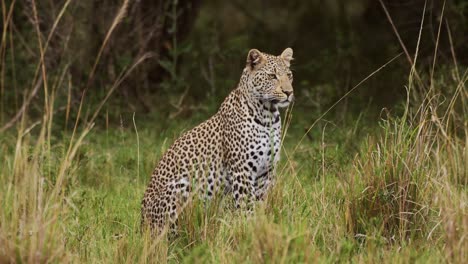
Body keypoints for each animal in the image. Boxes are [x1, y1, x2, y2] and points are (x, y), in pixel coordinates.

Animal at [141, 48, 294, 235]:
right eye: (272, 76)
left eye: (289, 75)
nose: (289, 92)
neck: (268, 117)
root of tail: (141, 224)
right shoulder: (242, 171)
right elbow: (246, 205)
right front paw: (248, 229)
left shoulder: (266, 172)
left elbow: (259, 204)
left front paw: (259, 226)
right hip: (181, 187)